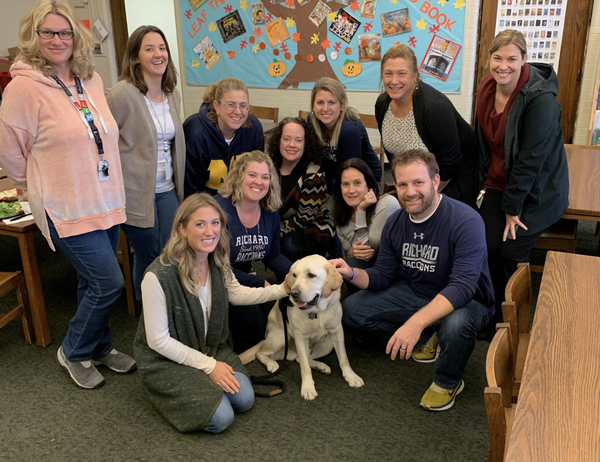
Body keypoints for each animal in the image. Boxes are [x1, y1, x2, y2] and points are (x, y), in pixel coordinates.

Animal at [240, 254, 364, 398]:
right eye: (294, 275)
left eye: (311, 275)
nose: (294, 293)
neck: (316, 312)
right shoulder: (300, 337)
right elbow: (305, 367)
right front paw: (308, 388)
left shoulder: (337, 331)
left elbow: (343, 357)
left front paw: (351, 376)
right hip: (279, 337)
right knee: (262, 352)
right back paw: (271, 363)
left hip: (327, 345)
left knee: (300, 358)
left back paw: (320, 366)